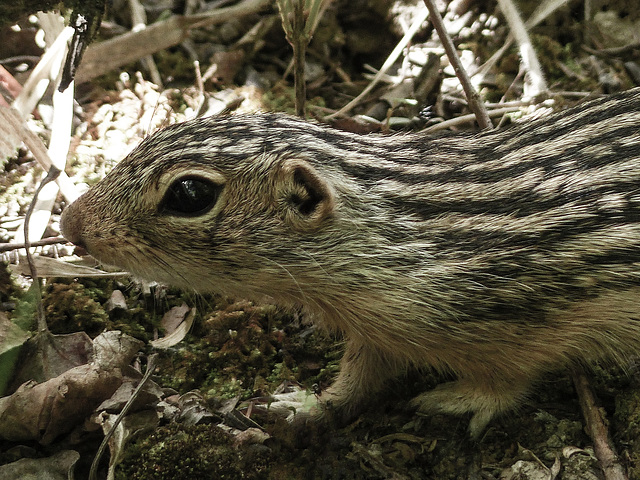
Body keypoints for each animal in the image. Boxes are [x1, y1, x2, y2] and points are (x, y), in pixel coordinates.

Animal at [62, 87, 640, 436]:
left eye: (189, 194)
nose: (69, 225)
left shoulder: (519, 324)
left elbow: (505, 384)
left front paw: (456, 402)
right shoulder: (374, 335)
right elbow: (356, 383)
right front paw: (300, 408)